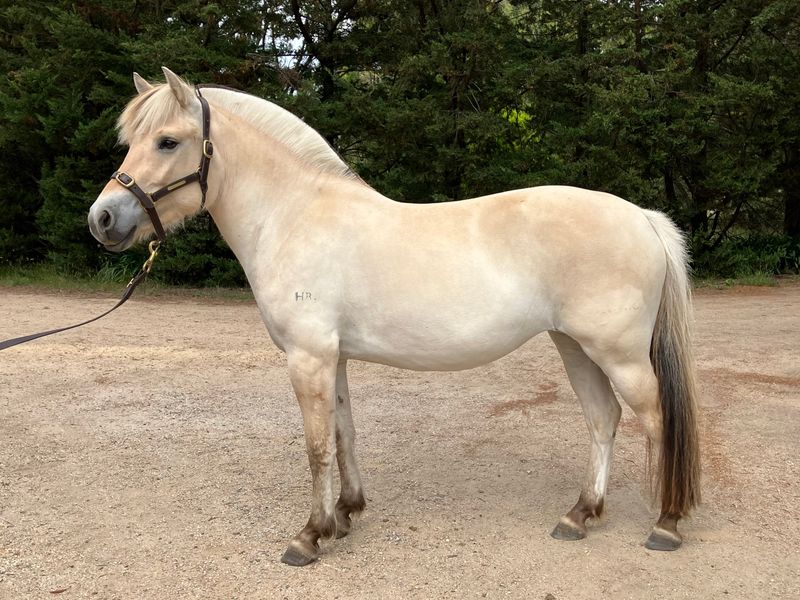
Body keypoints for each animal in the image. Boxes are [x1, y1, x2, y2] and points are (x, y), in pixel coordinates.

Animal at [88, 68, 701, 566]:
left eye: (168, 140)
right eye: (131, 141)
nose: (103, 218)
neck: (294, 216)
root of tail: (642, 217)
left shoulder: (308, 357)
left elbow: (316, 446)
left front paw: (308, 536)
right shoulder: (331, 358)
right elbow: (344, 433)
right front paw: (345, 514)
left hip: (619, 354)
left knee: (657, 420)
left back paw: (666, 525)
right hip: (574, 347)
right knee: (603, 419)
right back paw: (580, 516)